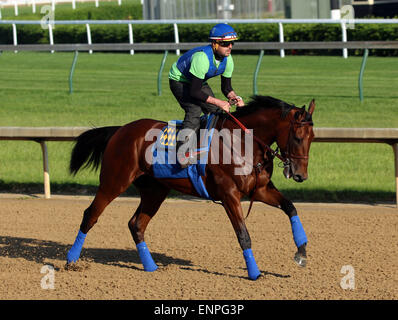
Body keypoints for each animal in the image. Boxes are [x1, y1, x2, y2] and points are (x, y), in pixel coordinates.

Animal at [66, 95, 314, 280]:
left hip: (155, 191)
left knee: (136, 224)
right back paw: (71, 260)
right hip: (114, 181)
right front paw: (254, 273)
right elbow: (243, 234)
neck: (242, 143)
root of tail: (120, 130)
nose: (300, 175)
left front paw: (301, 251)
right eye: (298, 137)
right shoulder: (229, 195)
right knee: (91, 215)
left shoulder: (260, 190)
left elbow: (290, 207)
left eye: (312, 137)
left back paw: (151, 267)